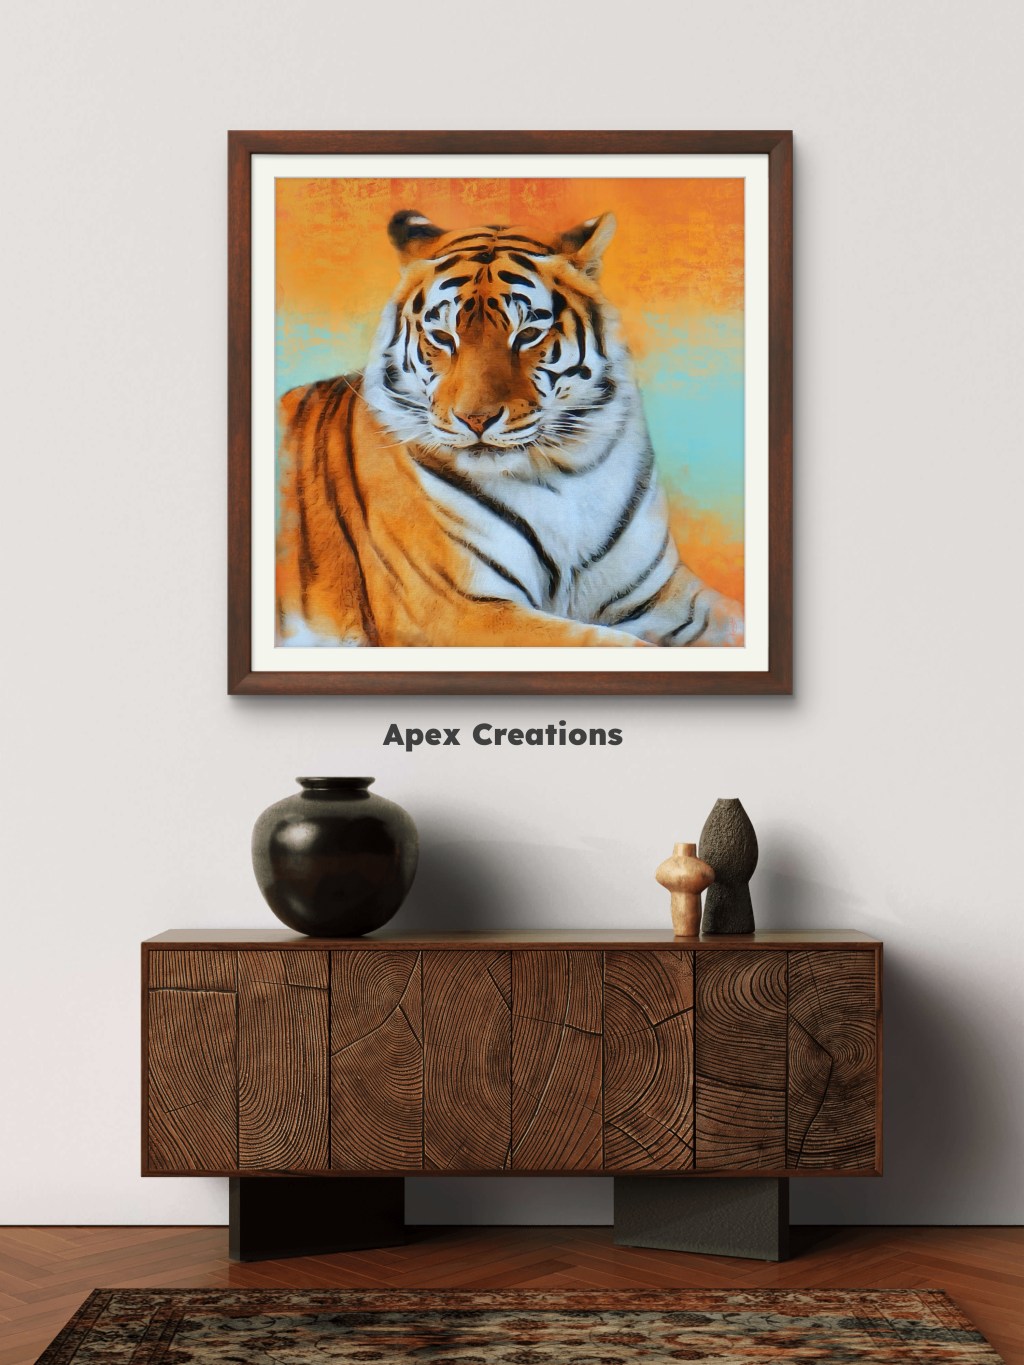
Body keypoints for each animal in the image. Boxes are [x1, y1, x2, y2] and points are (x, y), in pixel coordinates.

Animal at [277, 209, 744, 648]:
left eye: (529, 333)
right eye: (442, 336)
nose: (476, 419)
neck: (564, 470)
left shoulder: (664, 593)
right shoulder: (456, 610)